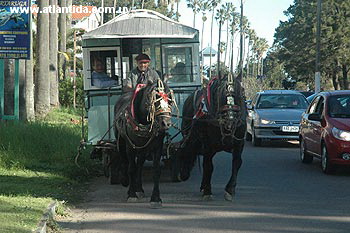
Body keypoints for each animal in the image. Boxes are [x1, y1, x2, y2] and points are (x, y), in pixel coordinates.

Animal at [113, 79, 175, 208]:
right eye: (154, 99)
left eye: (170, 100)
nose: (166, 123)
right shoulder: (130, 146)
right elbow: (131, 168)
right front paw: (131, 194)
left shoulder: (157, 146)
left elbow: (156, 170)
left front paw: (155, 198)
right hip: (121, 142)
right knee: (125, 161)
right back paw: (127, 183)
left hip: (143, 149)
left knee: (140, 165)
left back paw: (139, 189)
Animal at [172, 73, 246, 201]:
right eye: (219, 93)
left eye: (240, 92)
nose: (230, 119)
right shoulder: (207, 144)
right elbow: (208, 165)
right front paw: (207, 190)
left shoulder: (239, 143)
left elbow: (237, 163)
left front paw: (230, 190)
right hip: (190, 135)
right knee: (188, 150)